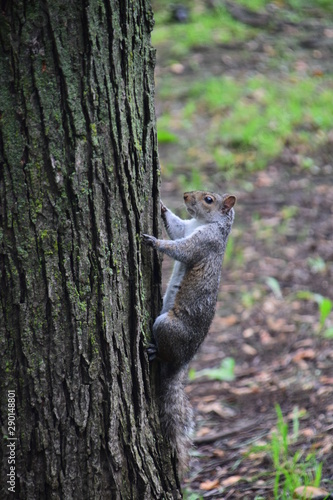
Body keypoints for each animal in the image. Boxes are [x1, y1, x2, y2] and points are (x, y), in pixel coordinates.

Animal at [141, 190, 235, 468]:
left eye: (208, 199)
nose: (185, 195)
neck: (203, 223)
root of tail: (182, 362)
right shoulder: (186, 229)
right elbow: (176, 227)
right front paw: (162, 207)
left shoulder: (204, 243)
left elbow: (181, 249)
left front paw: (153, 242)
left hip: (166, 326)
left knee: (165, 353)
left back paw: (155, 352)